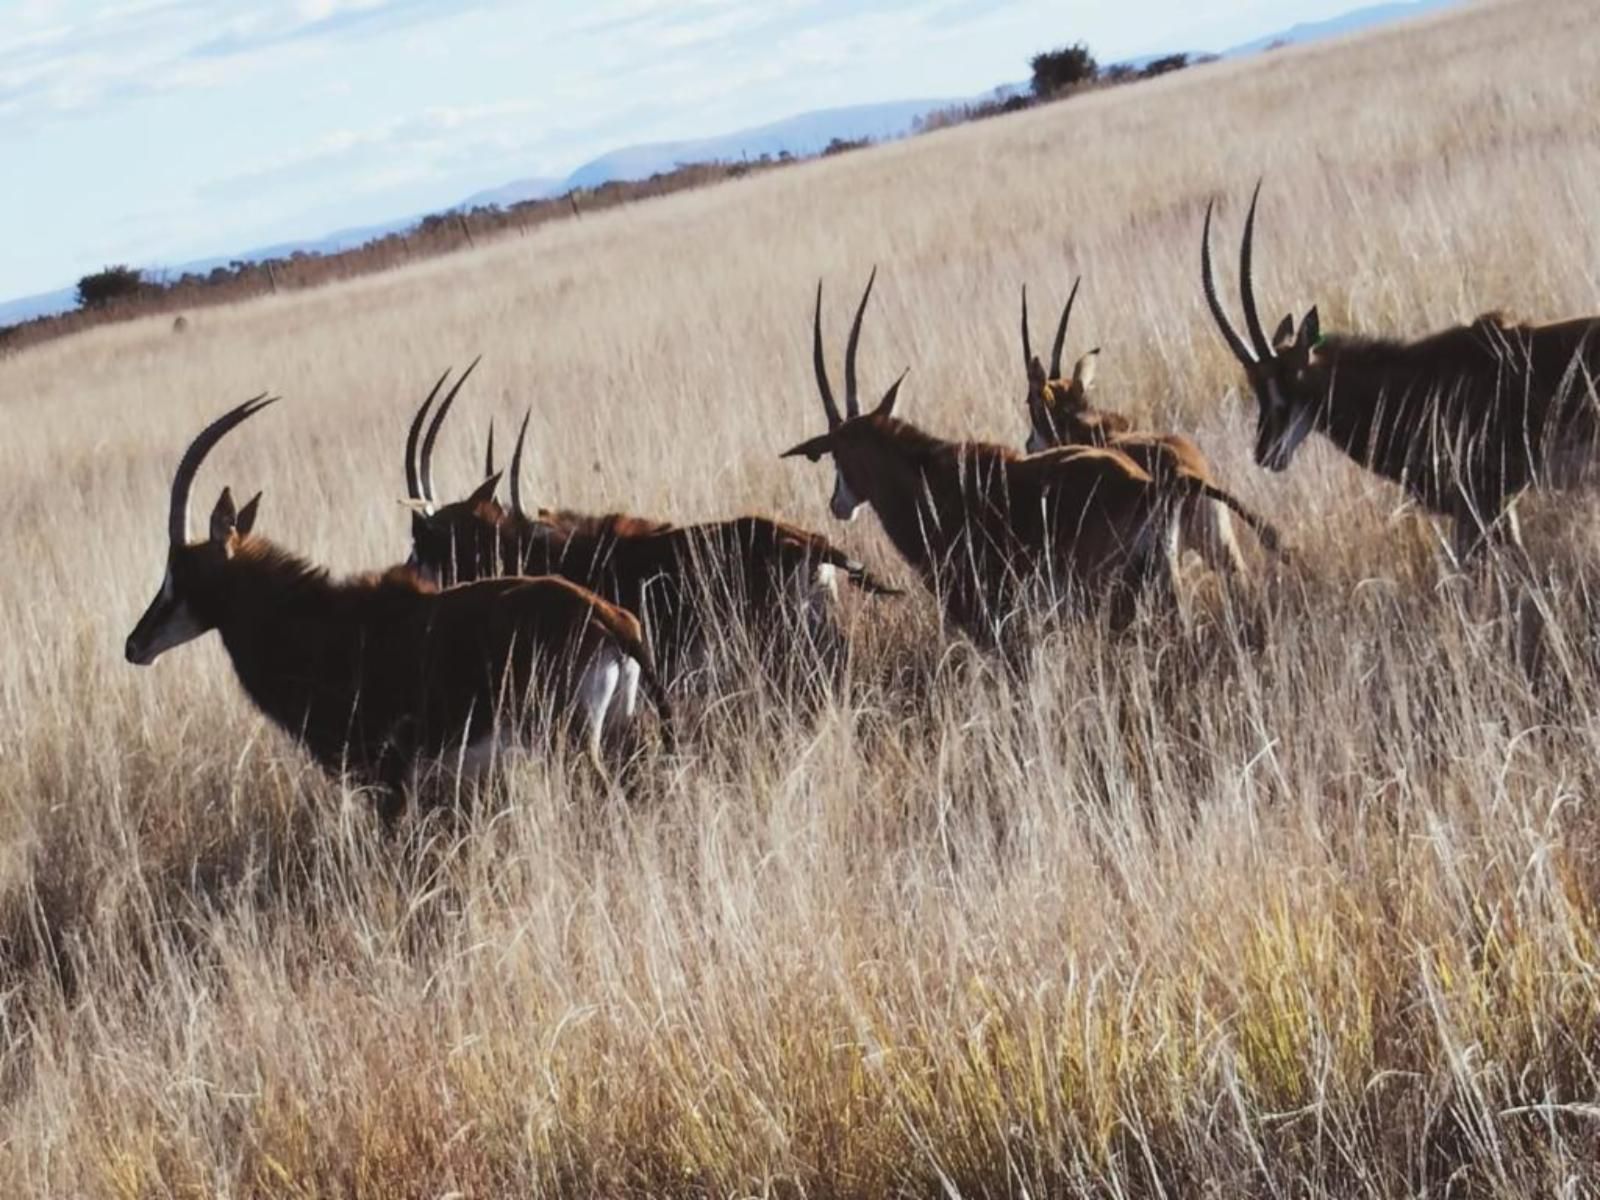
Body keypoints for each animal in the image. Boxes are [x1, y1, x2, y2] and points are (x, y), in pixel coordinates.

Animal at [128, 400, 672, 825]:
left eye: (180, 572)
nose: (135, 644)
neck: (314, 624)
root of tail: (610, 618)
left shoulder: (386, 782)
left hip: (571, 743)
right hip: (620, 733)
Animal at [1203, 183, 1600, 569]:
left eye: (1293, 379)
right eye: (1257, 387)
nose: (1265, 453)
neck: (1409, 382)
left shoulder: (1481, 499)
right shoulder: (1488, 505)